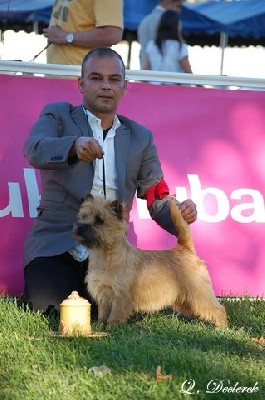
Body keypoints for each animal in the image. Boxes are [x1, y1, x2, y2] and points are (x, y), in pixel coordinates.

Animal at [73, 194, 227, 328]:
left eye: (100, 220)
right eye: (83, 216)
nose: (80, 226)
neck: (105, 255)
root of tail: (185, 249)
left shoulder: (120, 295)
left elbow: (115, 314)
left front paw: (111, 328)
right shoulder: (103, 293)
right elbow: (102, 314)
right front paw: (99, 326)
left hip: (198, 291)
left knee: (217, 308)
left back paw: (221, 327)